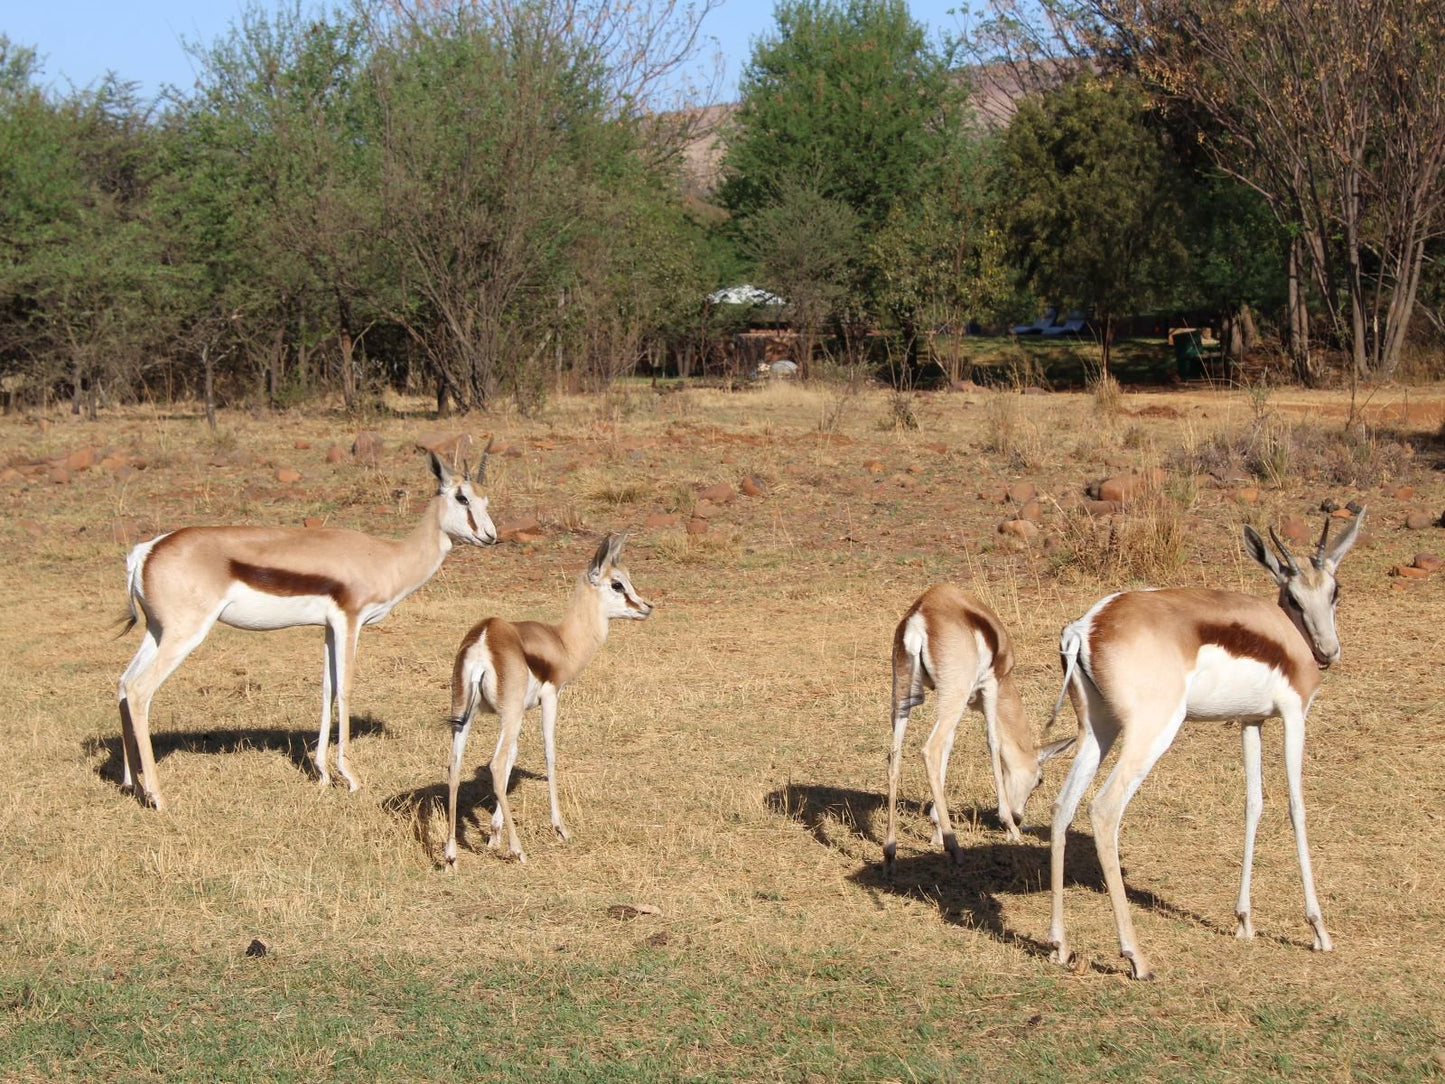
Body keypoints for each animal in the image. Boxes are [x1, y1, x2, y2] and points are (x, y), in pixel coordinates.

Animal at [115, 445, 497, 809]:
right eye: (462, 497)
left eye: (485, 498)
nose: (490, 536)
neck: (387, 557)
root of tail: (146, 551)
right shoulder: (349, 621)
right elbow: (345, 689)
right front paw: (350, 777)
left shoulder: (328, 627)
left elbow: (327, 690)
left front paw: (323, 774)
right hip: (184, 634)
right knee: (139, 690)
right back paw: (157, 796)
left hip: (157, 632)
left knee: (122, 684)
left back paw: (131, 784)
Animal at [439, 531, 656, 872]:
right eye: (617, 584)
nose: (646, 606)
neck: (562, 642)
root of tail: (486, 635)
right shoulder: (551, 697)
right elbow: (549, 753)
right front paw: (560, 828)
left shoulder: (520, 712)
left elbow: (514, 758)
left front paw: (493, 835)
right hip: (507, 714)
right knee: (496, 764)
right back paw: (519, 851)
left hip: (466, 713)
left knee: (455, 765)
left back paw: (450, 856)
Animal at [878, 586, 1075, 872]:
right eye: (1040, 780)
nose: (1019, 816)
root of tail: (921, 613)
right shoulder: (991, 686)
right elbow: (993, 742)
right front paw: (1010, 827)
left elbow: (949, 748)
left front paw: (935, 829)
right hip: (953, 694)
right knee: (930, 750)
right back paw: (955, 848)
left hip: (905, 696)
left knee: (895, 756)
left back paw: (890, 852)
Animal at [1051, 514, 1364, 982]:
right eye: (1293, 596)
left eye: (1334, 590)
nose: (1328, 652)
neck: (1286, 640)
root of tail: (1086, 625)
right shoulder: (1294, 716)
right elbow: (1296, 806)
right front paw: (1318, 930)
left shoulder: (1251, 722)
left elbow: (1253, 804)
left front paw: (1244, 921)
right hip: (1151, 732)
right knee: (1104, 810)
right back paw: (1136, 958)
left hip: (1098, 731)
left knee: (1061, 807)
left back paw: (1059, 945)